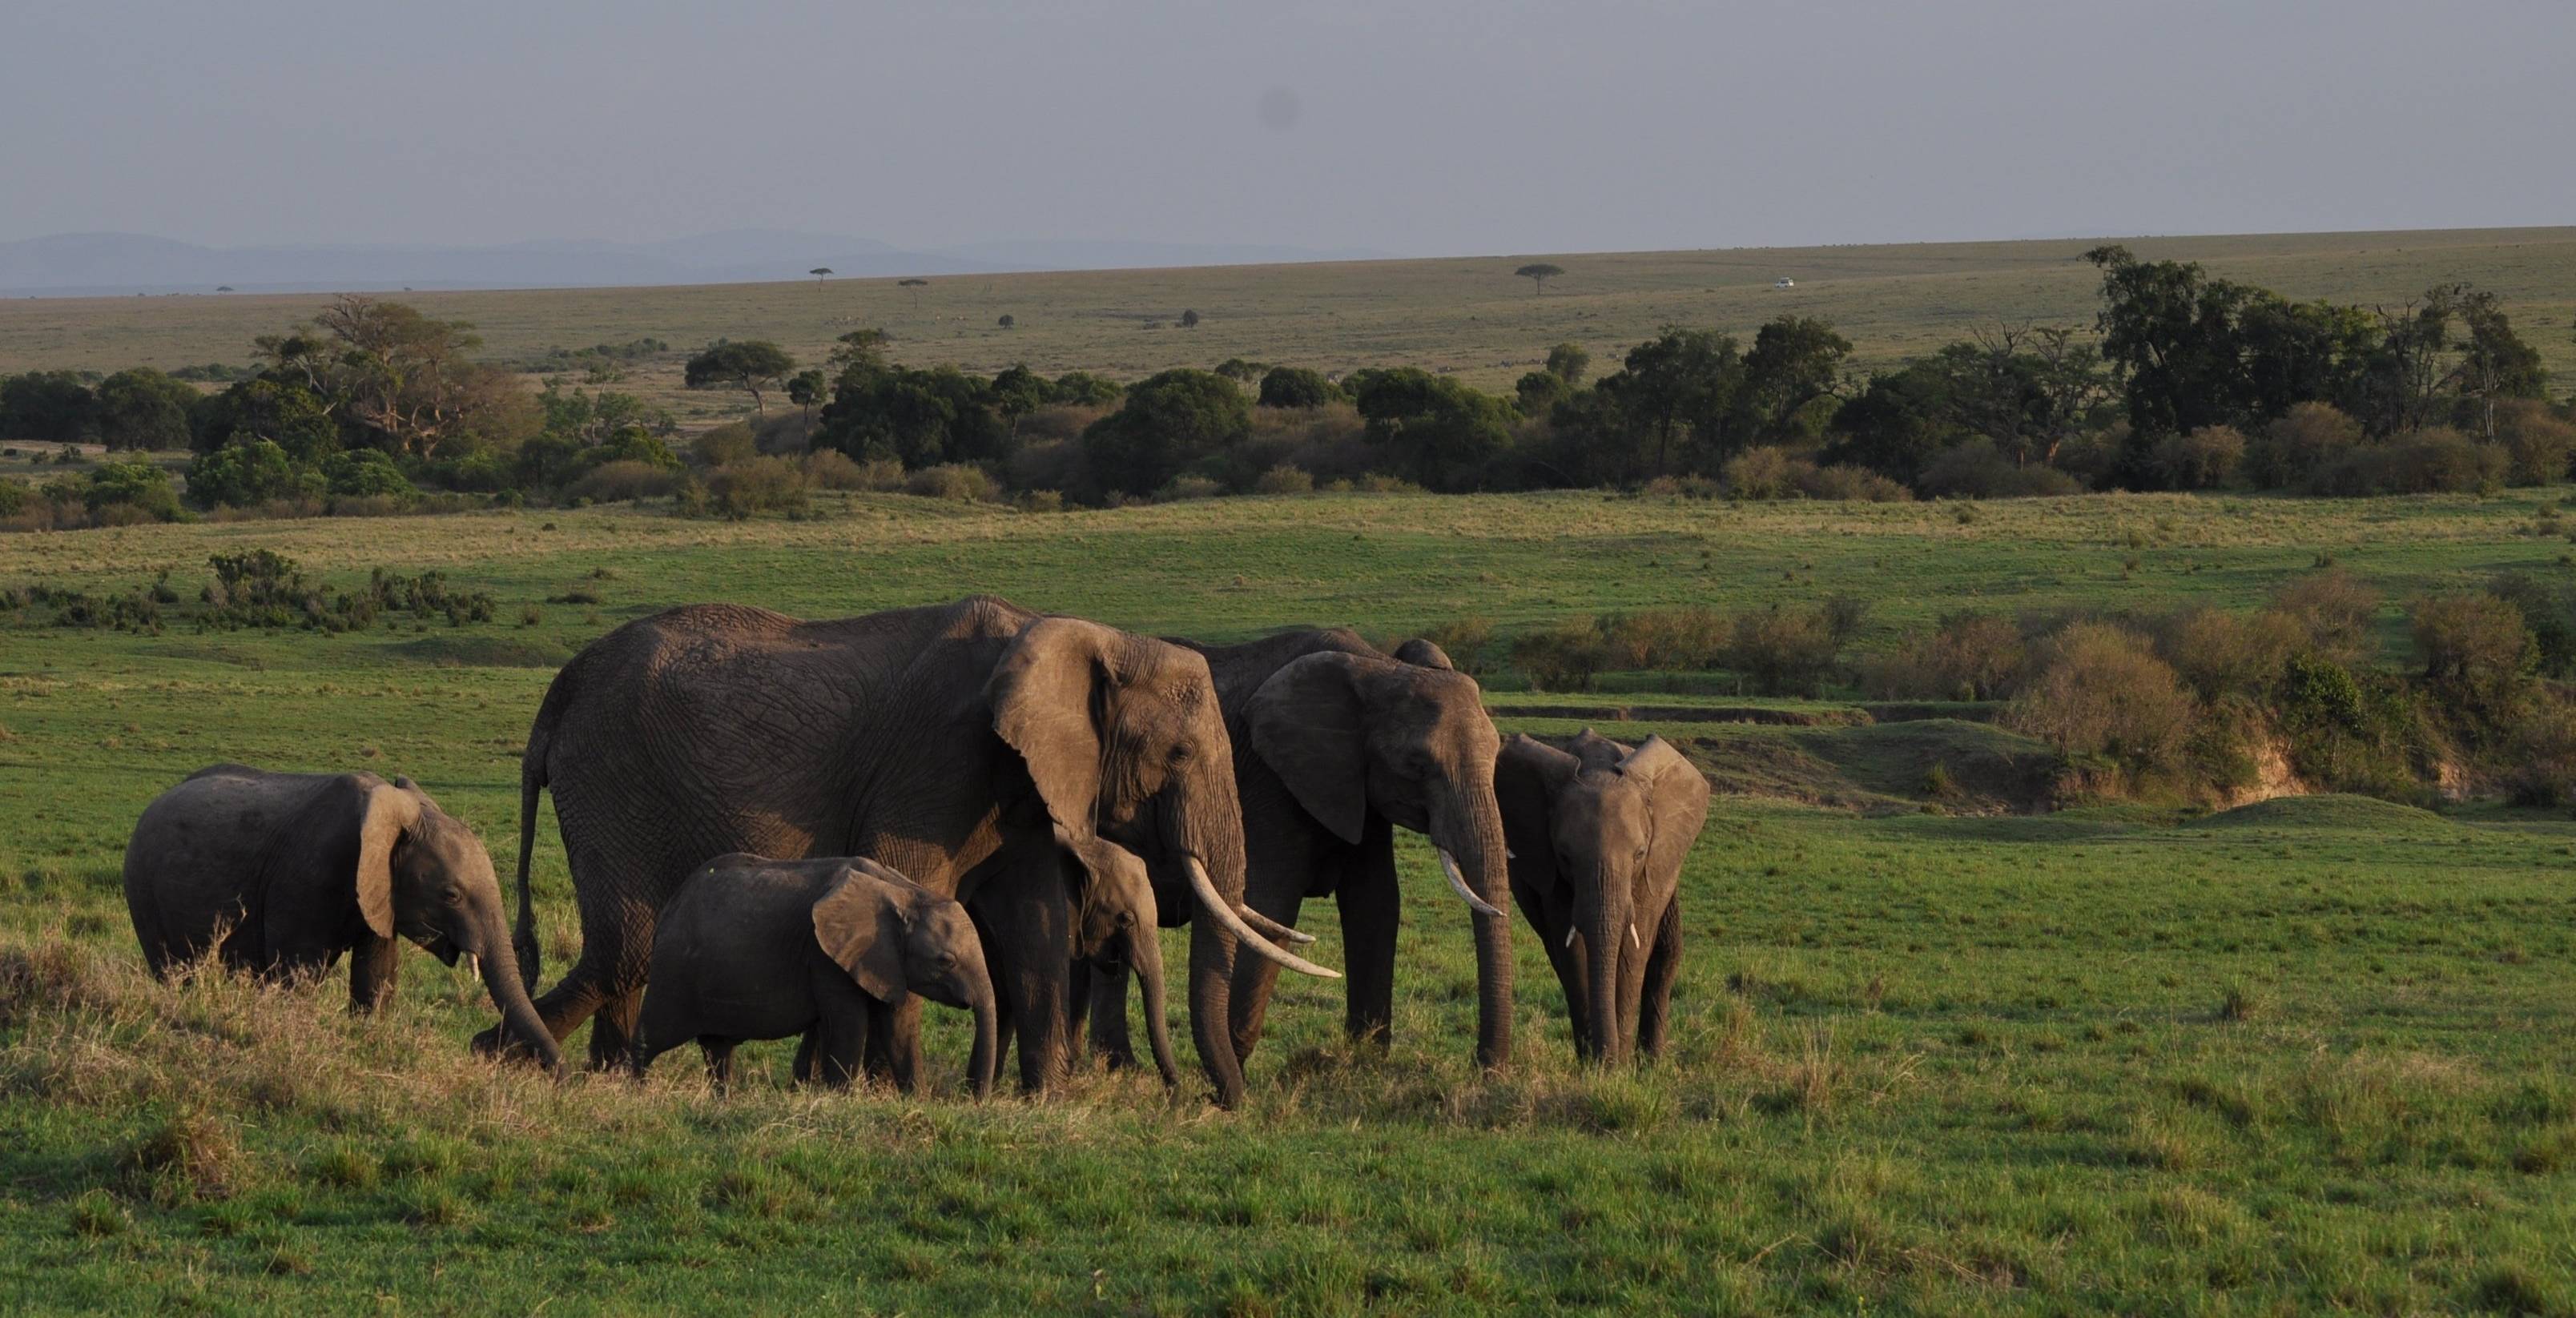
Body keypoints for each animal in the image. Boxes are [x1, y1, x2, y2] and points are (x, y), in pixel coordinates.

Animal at [123, 761, 561, 1071]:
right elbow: (298, 977)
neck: (395, 814)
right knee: (174, 971)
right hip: (143, 891)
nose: (562, 1074)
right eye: (451, 895)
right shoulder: (307, 878)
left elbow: (376, 976)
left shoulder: (380, 891)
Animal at [628, 849, 999, 1096]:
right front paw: (844, 1099)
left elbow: (899, 1028)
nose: (972, 1098)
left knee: (717, 1049)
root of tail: (668, 909)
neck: (905, 892)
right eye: (946, 961)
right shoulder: (826, 957)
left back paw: (723, 1100)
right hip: (674, 970)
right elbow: (850, 1023)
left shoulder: (888, 961)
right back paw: (638, 1091)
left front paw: (916, 1099)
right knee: (652, 1038)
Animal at [1087, 628, 1504, 1071]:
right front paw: (1234, 1062)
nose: (1486, 1067)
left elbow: (1375, 903)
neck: (1378, 666)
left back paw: (1115, 1067)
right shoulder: (1272, 778)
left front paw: (1364, 1062)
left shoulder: (1354, 785)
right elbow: (1272, 902)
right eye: (1418, 766)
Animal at [1494, 725, 1710, 1065]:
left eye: (1639, 854)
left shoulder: (1649, 869)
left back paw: (1651, 1062)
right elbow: (1572, 950)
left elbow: (1634, 948)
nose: (1607, 1058)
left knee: (1667, 952)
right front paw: (1595, 1064)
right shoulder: (1551, 871)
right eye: (1565, 856)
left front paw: (1617, 1063)